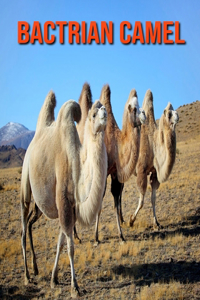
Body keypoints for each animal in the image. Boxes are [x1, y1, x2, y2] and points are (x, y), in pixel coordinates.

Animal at [20, 91, 108, 298]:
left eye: (104, 108)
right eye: (93, 113)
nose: (104, 114)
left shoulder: (70, 208)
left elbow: (60, 243)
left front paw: (54, 279)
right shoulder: (64, 203)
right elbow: (70, 247)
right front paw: (75, 287)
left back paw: (35, 270)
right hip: (25, 183)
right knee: (23, 227)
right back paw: (27, 276)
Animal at [76, 83, 145, 243]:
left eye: (140, 106)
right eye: (134, 108)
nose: (144, 115)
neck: (117, 144)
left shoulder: (114, 172)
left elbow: (116, 201)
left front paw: (121, 236)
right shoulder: (103, 171)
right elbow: (100, 203)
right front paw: (96, 237)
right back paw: (76, 237)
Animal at [130, 90, 180, 229]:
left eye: (175, 110)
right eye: (169, 113)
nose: (177, 116)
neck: (154, 144)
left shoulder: (155, 173)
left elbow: (153, 199)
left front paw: (156, 223)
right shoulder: (141, 171)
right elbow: (142, 200)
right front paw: (131, 220)